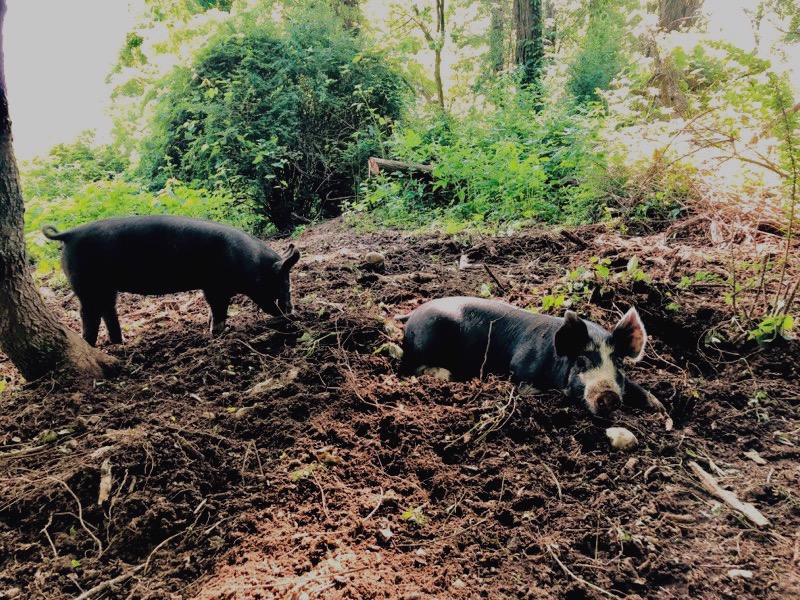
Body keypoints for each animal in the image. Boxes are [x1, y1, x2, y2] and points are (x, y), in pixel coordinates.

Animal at [43, 215, 300, 346]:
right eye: (284, 282)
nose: (290, 312)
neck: (250, 264)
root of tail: (69, 234)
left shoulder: (210, 286)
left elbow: (212, 309)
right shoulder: (216, 285)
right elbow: (218, 308)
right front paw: (217, 334)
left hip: (107, 287)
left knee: (108, 310)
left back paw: (119, 343)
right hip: (87, 284)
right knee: (89, 313)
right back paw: (92, 344)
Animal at [398, 297, 666, 417]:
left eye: (619, 364)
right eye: (581, 362)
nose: (608, 395)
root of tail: (413, 313)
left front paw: (660, 407)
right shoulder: (522, 369)